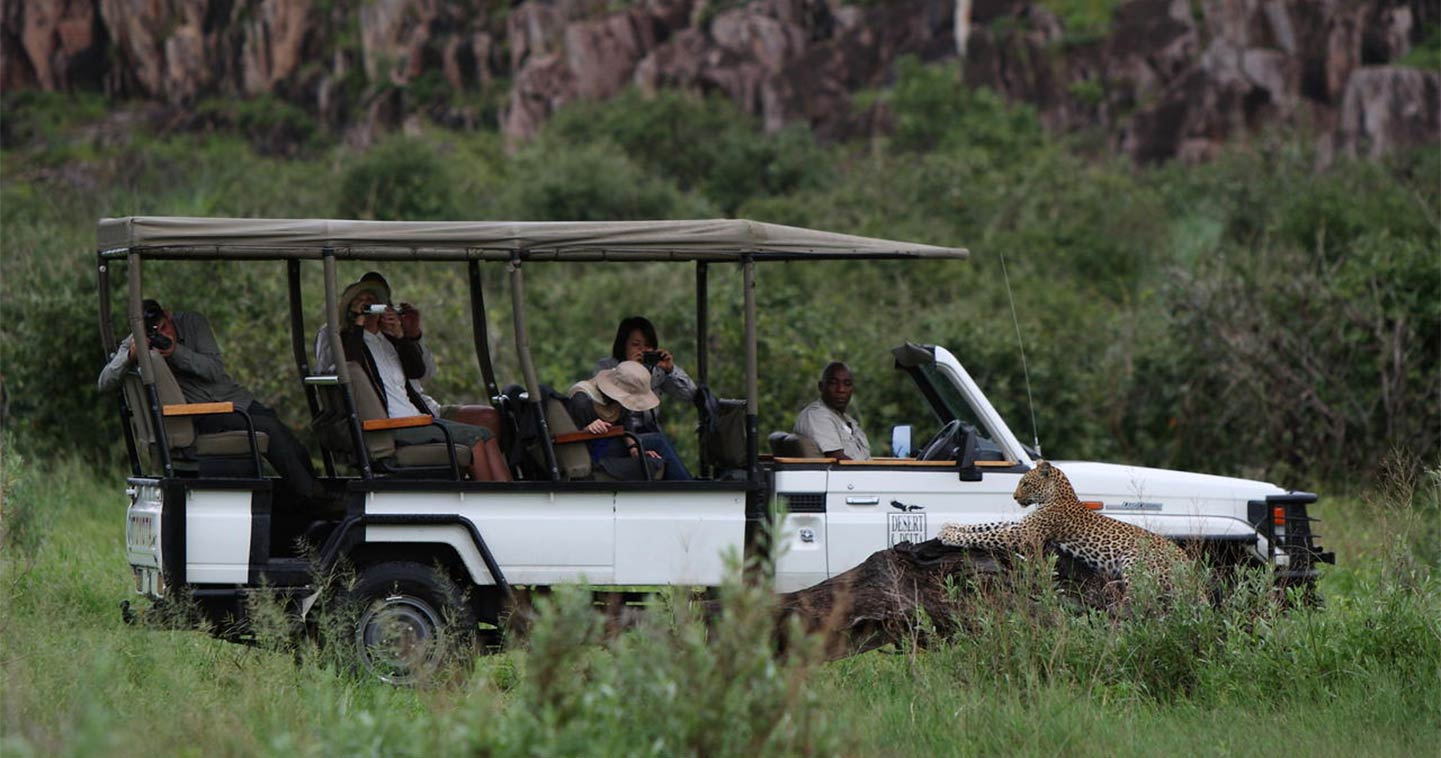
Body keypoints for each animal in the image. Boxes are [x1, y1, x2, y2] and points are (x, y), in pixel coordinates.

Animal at [939, 458, 1187, 593]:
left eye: (1025, 484)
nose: (1014, 496)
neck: (1055, 496)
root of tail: (1187, 562)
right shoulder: (1022, 525)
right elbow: (985, 525)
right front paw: (950, 526)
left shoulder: (1025, 533)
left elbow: (985, 535)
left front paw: (950, 536)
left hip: (1136, 560)